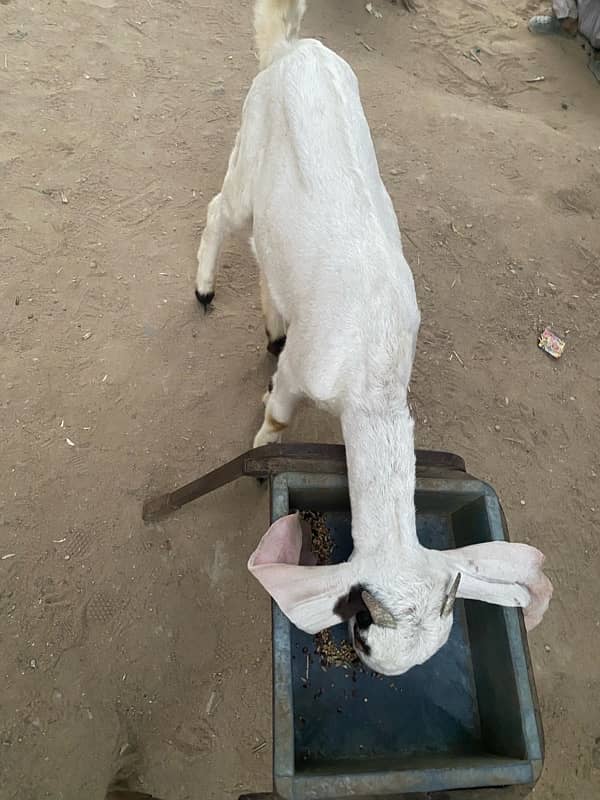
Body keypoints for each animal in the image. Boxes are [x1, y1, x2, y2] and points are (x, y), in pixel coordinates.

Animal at [197, 0, 552, 676]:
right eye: (362, 632)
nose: (369, 669)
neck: (373, 371)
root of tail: (294, 49)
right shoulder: (302, 372)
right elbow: (279, 417)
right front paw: (259, 456)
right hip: (246, 158)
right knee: (219, 213)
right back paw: (202, 288)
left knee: (265, 257)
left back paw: (272, 322)